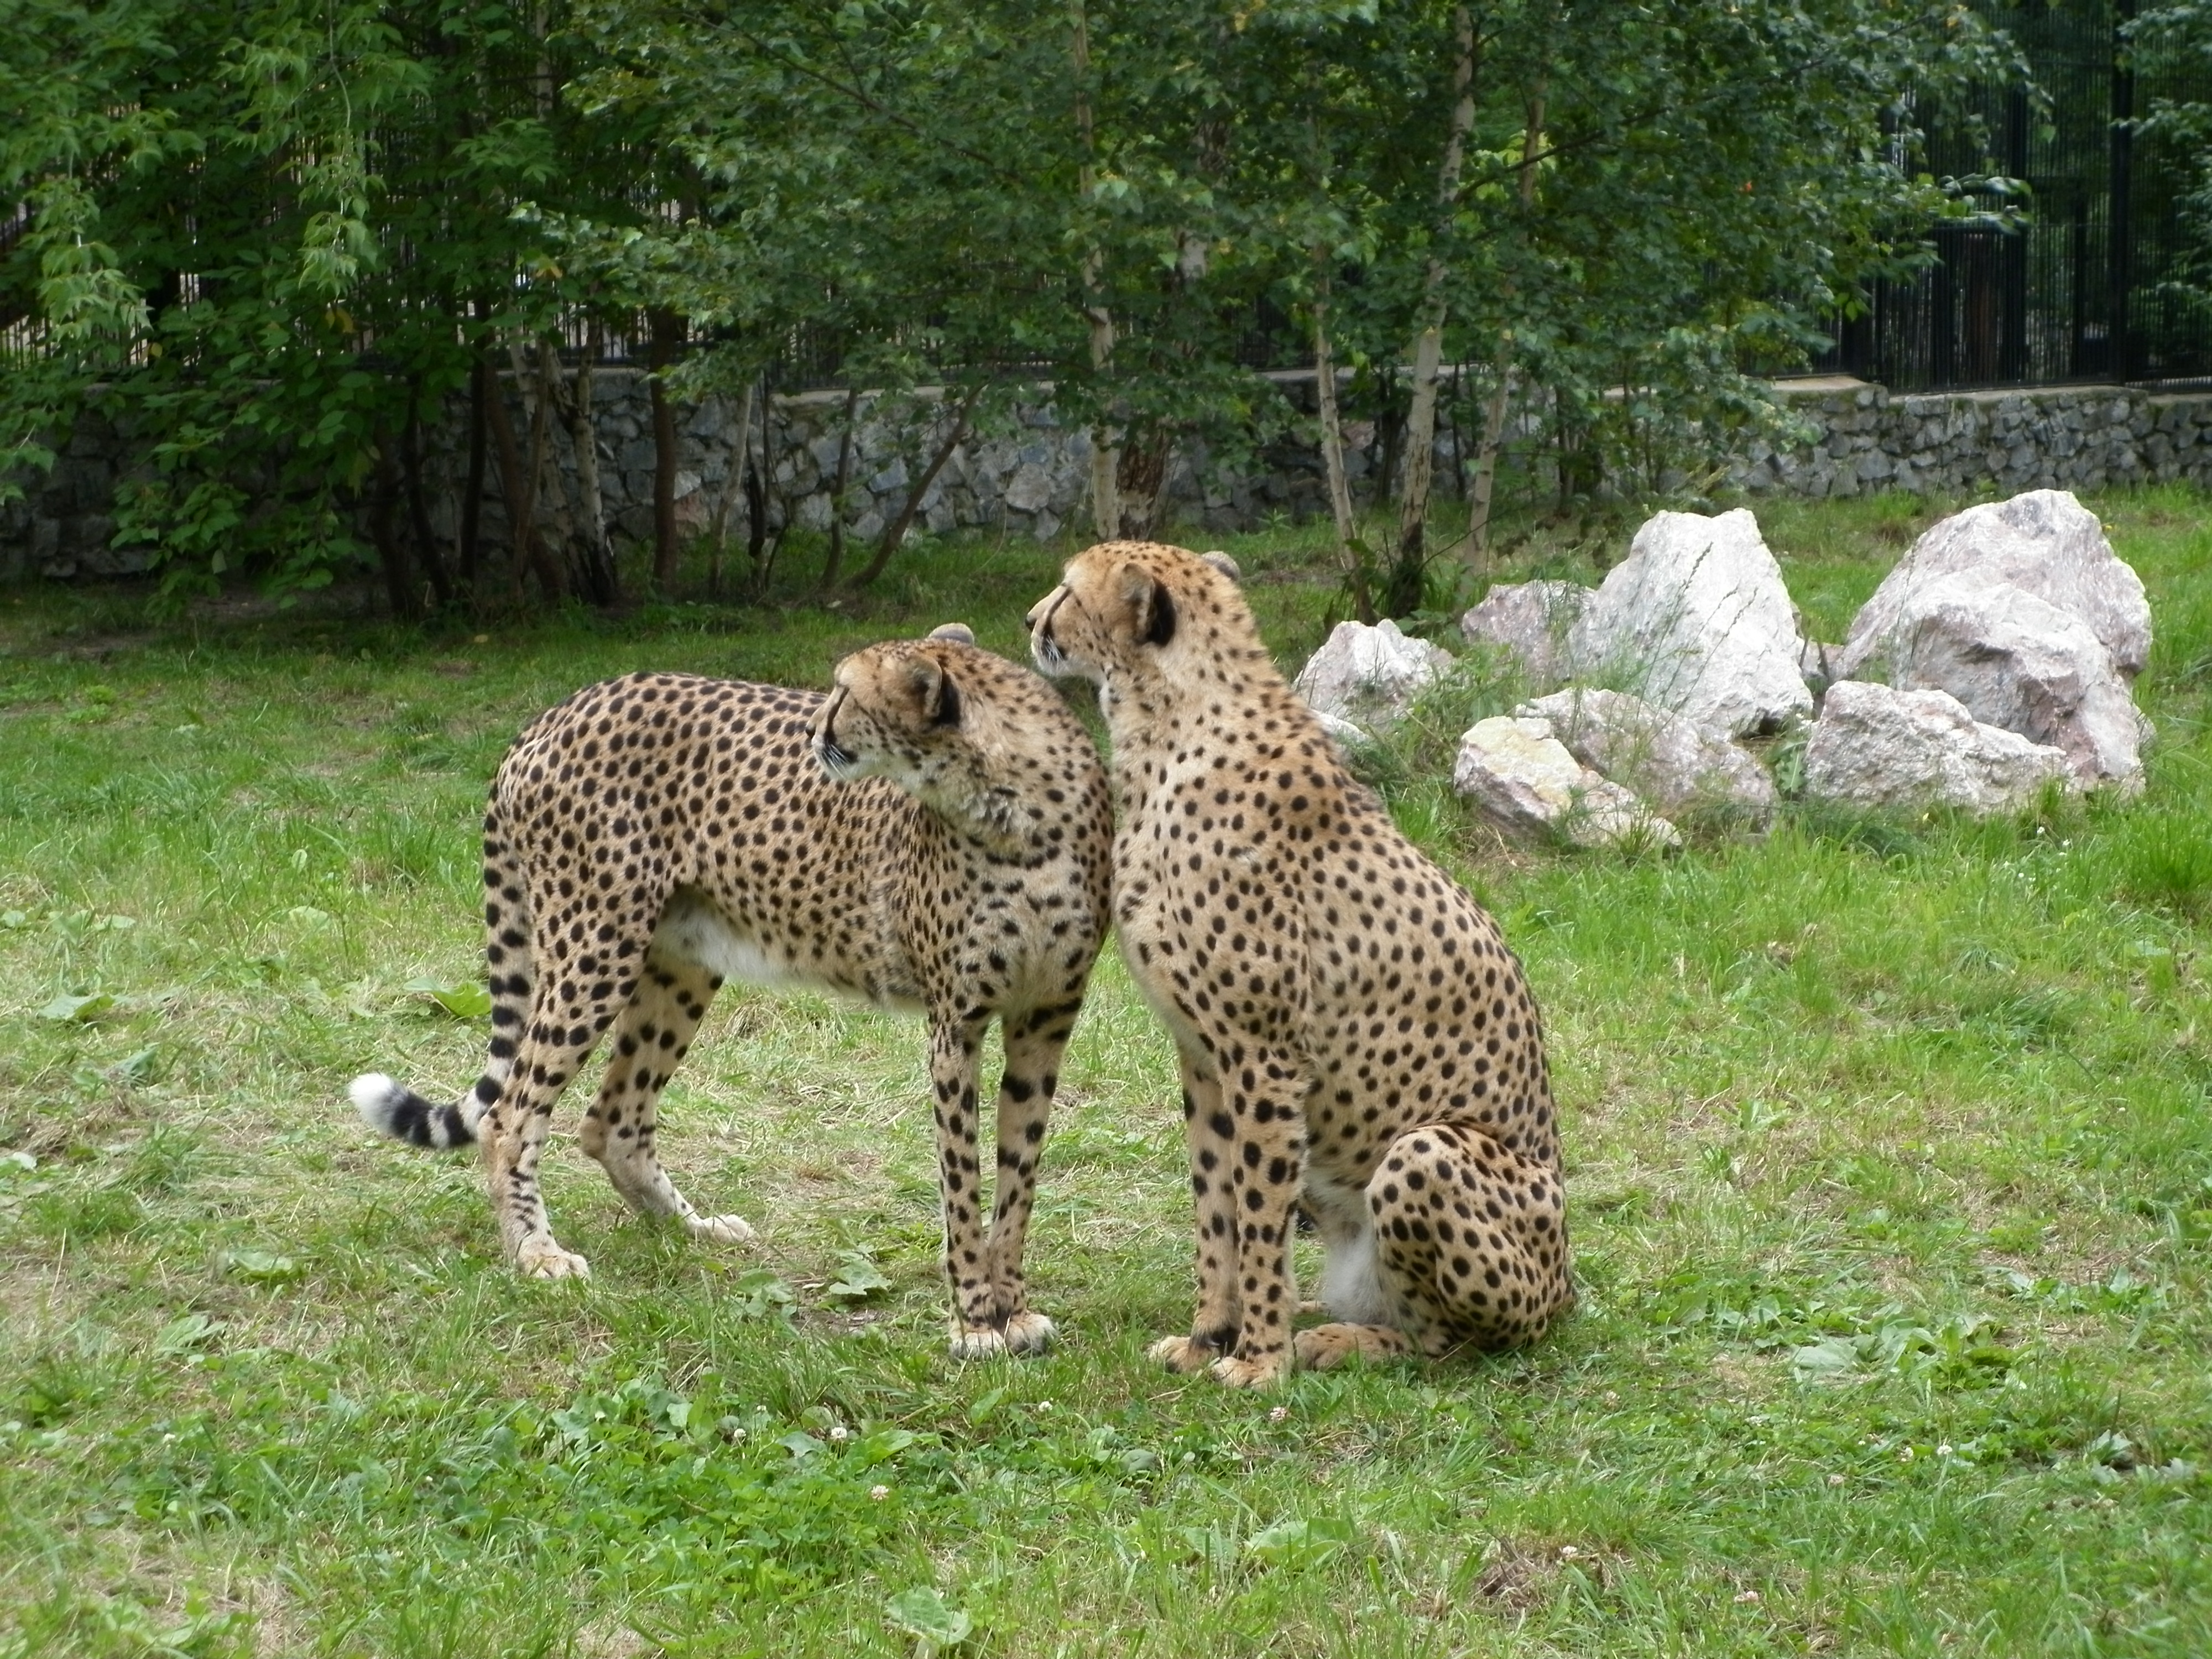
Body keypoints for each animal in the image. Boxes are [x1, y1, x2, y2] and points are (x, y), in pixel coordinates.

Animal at [352, 628, 1115, 1354]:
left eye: (846, 692)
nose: (815, 734)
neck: (1012, 811)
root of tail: (564, 707)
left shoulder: (1045, 1021)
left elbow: (1018, 1176)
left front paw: (1013, 1309)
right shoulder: (955, 1023)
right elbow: (962, 1181)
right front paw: (976, 1322)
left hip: (679, 962)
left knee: (612, 1119)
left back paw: (693, 1229)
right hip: (596, 948)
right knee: (511, 1114)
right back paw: (537, 1253)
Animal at [1031, 549, 1575, 1389]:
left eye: (1067, 590)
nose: (1031, 620)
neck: (1168, 729)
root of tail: (1568, 1290)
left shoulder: (1265, 1057)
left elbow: (1255, 1215)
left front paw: (1258, 1359)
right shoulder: (1202, 1057)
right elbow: (1216, 1204)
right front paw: (1207, 1338)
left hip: (1427, 1151)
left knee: (1450, 1345)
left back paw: (1339, 1340)